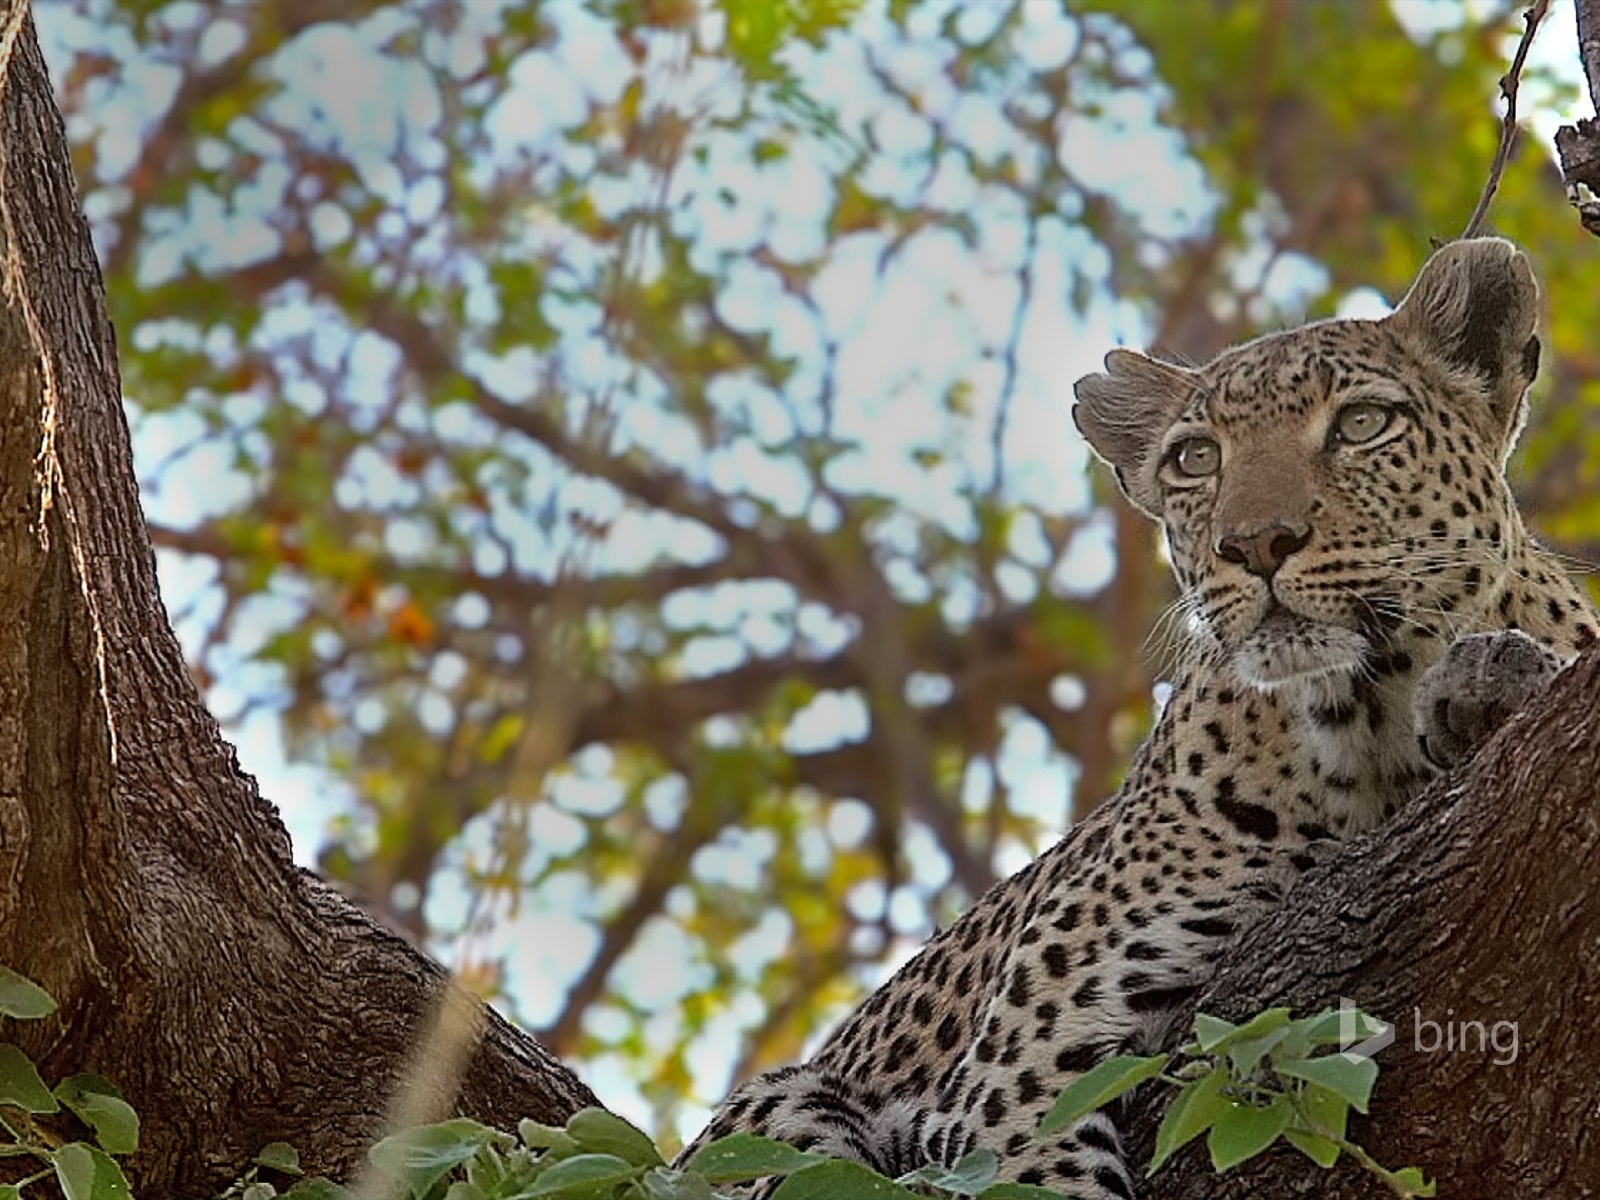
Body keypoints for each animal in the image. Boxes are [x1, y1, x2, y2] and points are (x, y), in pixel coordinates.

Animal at [678, 240, 1600, 1196]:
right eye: (1195, 459)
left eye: (1361, 424)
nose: (1255, 543)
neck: (1366, 721)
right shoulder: (1025, 1050)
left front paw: (1487, 681)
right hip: (779, 1107)